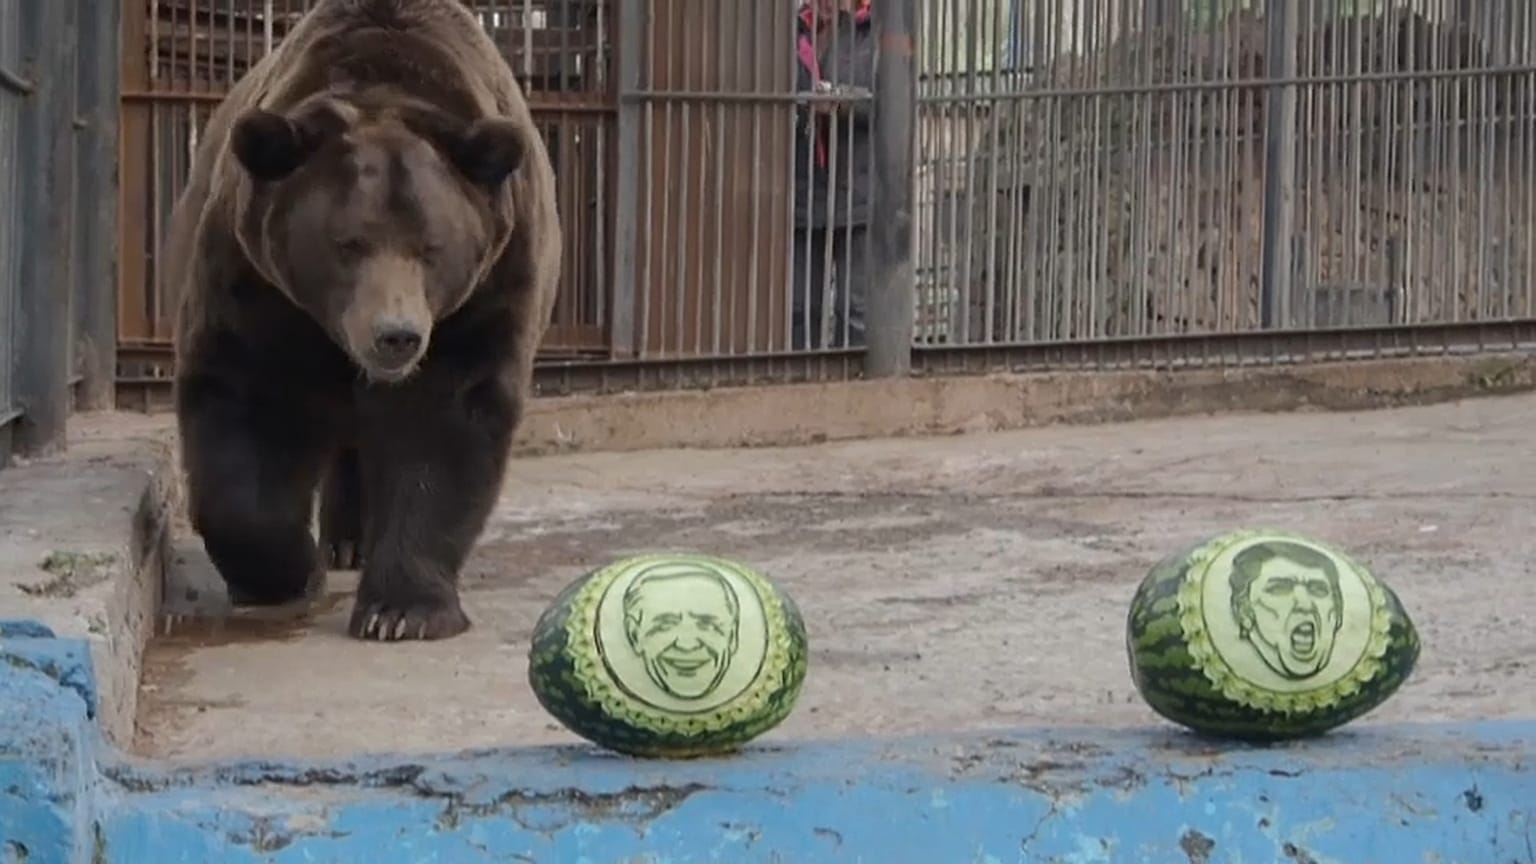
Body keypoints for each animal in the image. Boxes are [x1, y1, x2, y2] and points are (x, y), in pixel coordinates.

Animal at [160, 0, 562, 642]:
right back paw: (340, 545)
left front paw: (401, 610)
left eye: (431, 247)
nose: (396, 336)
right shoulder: (258, 288)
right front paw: (283, 572)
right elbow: (248, 409)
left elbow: (441, 423)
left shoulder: (484, 294)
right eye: (347, 244)